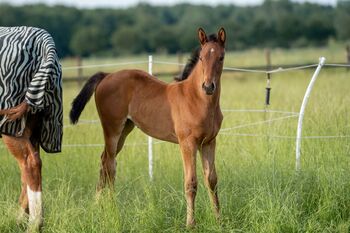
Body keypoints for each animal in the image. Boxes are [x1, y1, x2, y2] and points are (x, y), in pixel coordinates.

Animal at [0, 26, 62, 229]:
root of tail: (45, 43)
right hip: (33, 128)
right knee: (29, 167)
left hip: (13, 127)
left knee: (30, 164)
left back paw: (34, 224)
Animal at [69, 27, 226, 228]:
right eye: (201, 58)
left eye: (221, 57)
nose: (208, 86)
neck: (197, 99)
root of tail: (107, 75)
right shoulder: (188, 143)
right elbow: (191, 182)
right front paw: (190, 224)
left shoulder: (209, 142)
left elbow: (212, 181)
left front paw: (219, 221)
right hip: (112, 129)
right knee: (110, 165)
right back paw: (112, 210)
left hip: (124, 130)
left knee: (104, 162)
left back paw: (96, 207)